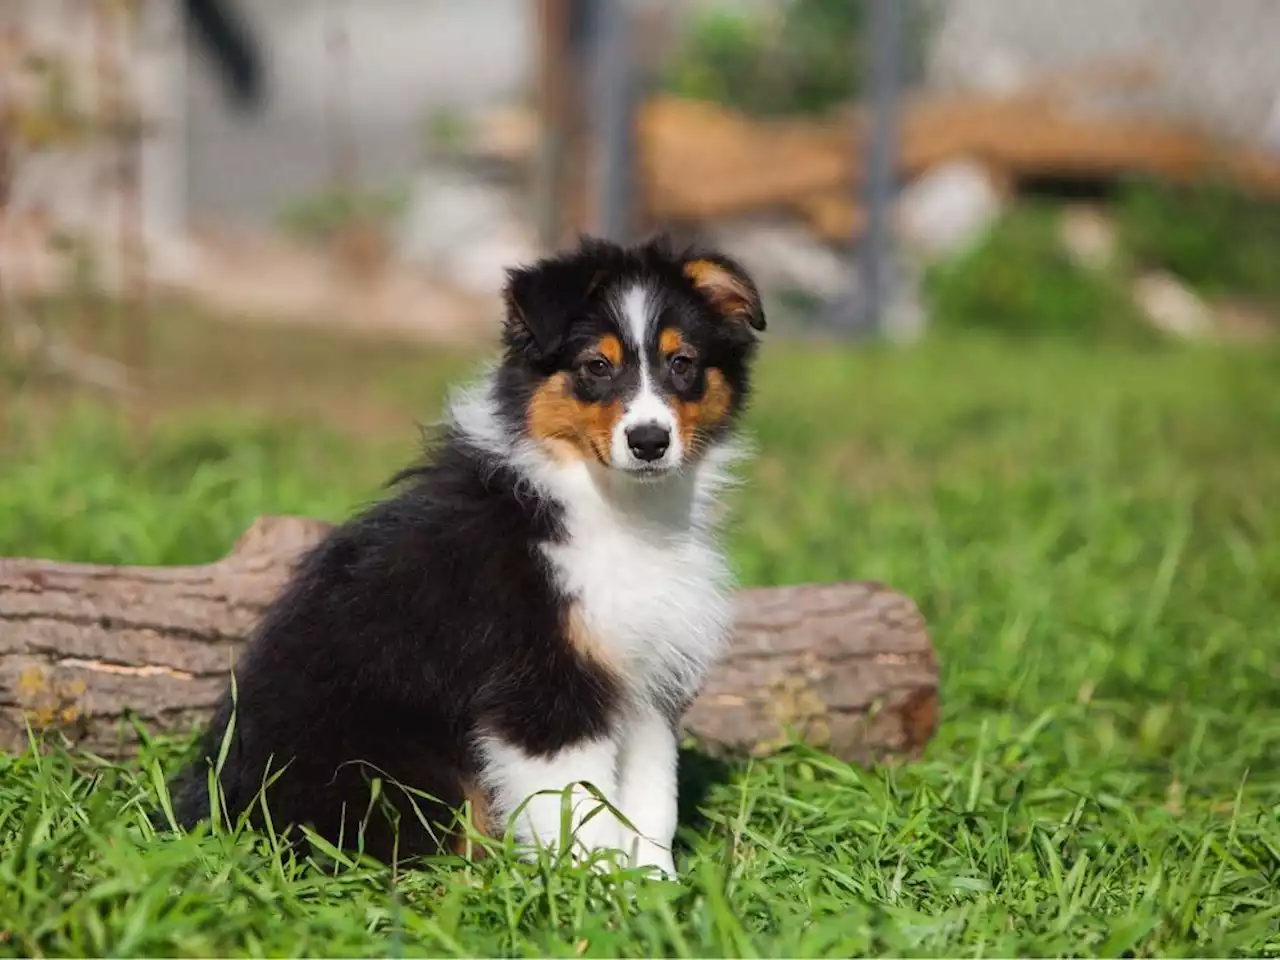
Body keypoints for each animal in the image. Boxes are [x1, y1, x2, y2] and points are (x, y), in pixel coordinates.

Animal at [174, 235, 762, 880]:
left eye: (682, 363)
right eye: (596, 367)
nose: (650, 441)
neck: (612, 506)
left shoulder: (647, 678)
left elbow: (653, 799)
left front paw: (657, 887)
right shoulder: (541, 686)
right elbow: (581, 803)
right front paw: (595, 889)